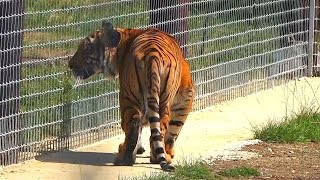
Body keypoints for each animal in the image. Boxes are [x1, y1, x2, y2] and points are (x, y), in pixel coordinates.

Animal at [68, 20, 195, 171]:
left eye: (87, 49)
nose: (70, 64)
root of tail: (152, 55)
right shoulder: (186, 95)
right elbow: (172, 130)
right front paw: (165, 152)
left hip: (128, 97)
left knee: (136, 125)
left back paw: (128, 158)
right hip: (138, 97)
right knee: (151, 125)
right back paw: (141, 157)